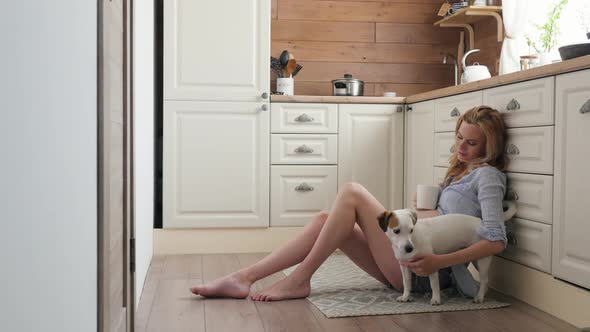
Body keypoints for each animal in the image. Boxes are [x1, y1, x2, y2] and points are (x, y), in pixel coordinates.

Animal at [382, 201, 516, 304]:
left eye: (411, 230)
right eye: (396, 231)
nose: (409, 248)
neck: (414, 239)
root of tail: (481, 222)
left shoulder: (430, 265)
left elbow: (434, 285)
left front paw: (436, 299)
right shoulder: (404, 267)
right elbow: (406, 283)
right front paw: (405, 297)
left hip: (483, 261)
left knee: (484, 280)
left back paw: (479, 297)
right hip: (477, 258)